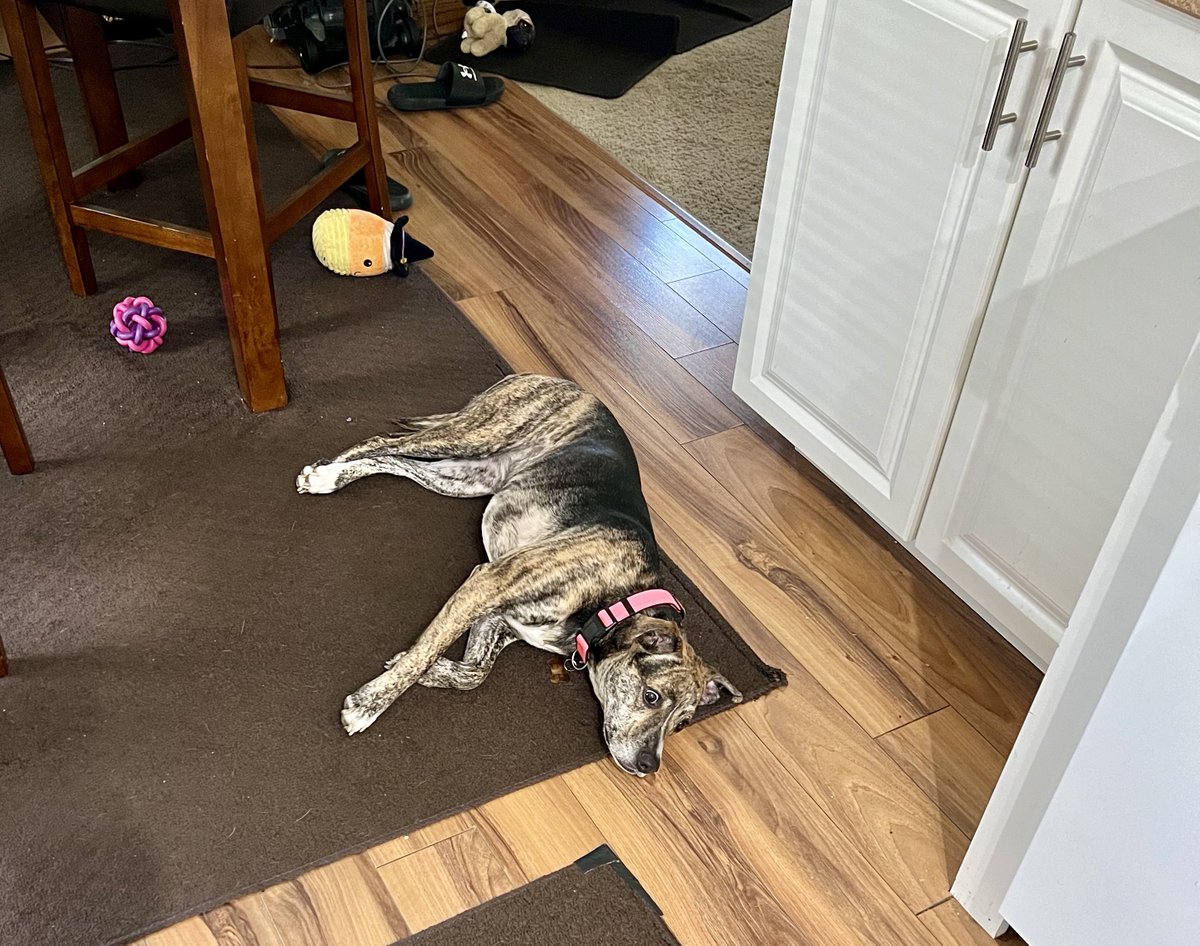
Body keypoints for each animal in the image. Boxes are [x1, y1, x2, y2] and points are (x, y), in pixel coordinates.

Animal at [294, 372, 734, 773]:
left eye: (682, 724)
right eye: (651, 697)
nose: (649, 765)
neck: (615, 601)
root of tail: (558, 380)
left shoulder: (499, 616)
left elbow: (473, 672)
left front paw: (430, 671)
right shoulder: (489, 584)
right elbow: (429, 650)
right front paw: (368, 705)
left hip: (465, 476)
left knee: (395, 461)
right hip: (476, 435)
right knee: (384, 442)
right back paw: (325, 474)